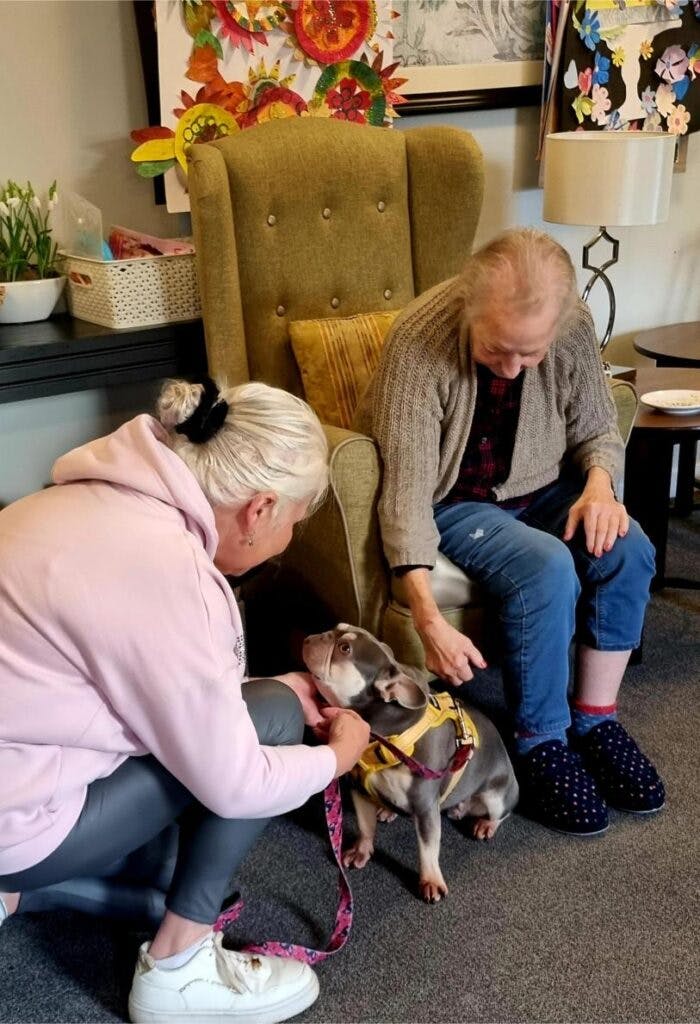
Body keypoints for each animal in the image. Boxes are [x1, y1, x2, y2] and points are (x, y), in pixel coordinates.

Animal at [302, 622, 519, 905]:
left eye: (344, 648)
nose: (308, 638)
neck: (383, 733)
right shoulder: (359, 790)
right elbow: (364, 825)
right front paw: (361, 849)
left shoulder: (425, 806)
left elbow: (428, 848)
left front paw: (431, 881)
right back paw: (391, 810)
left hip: (497, 796)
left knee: (502, 812)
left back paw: (486, 824)